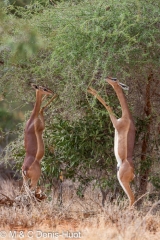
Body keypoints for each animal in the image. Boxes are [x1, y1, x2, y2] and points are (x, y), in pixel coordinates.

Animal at [88, 77, 136, 206]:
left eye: (115, 79)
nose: (107, 78)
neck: (127, 117)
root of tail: (133, 172)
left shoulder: (116, 123)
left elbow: (107, 106)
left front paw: (91, 90)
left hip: (122, 180)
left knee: (132, 199)